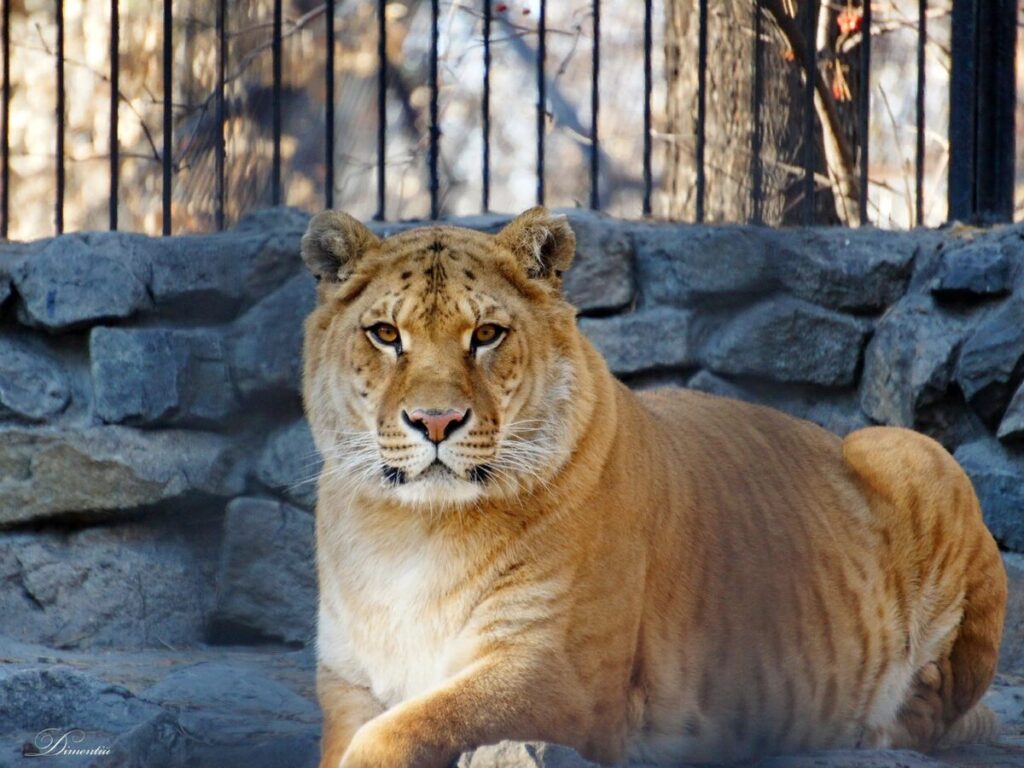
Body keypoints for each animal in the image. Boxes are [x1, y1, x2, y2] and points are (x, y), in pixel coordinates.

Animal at [300, 206, 1007, 768]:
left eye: (487, 334)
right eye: (386, 334)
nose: (436, 421)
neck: (412, 530)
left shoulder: (558, 677)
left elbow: (400, 734)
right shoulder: (346, 679)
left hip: (907, 450)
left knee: (932, 708)